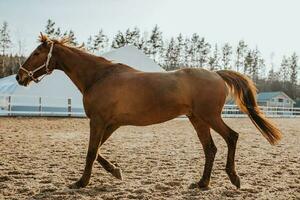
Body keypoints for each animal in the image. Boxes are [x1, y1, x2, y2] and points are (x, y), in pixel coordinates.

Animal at [17, 34, 282, 189]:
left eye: (37, 53)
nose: (20, 77)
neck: (99, 76)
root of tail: (216, 74)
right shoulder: (110, 123)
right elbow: (98, 150)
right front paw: (116, 172)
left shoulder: (98, 122)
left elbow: (91, 152)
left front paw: (81, 182)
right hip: (197, 119)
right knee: (210, 148)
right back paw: (202, 183)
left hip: (210, 117)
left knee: (231, 137)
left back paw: (233, 178)